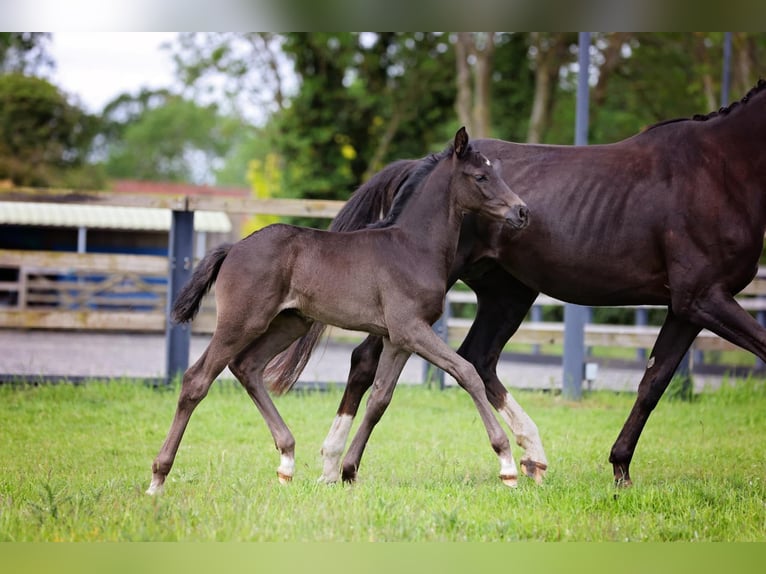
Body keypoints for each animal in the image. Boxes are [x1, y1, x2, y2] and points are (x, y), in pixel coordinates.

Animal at [147, 129, 532, 496]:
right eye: (480, 176)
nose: (522, 212)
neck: (412, 247)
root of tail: (233, 247)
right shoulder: (411, 329)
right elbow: (467, 372)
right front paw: (507, 463)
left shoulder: (398, 339)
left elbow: (380, 398)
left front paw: (347, 471)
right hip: (240, 322)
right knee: (197, 380)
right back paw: (158, 478)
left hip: (290, 323)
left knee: (247, 367)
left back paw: (287, 460)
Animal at [272, 79, 766, 488]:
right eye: (481, 177)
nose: (522, 212)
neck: (721, 167)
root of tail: (423, 162)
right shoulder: (704, 297)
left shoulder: (685, 307)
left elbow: (653, 382)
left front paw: (620, 468)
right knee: (371, 359)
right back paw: (332, 462)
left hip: (507, 293)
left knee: (477, 358)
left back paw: (531, 454)